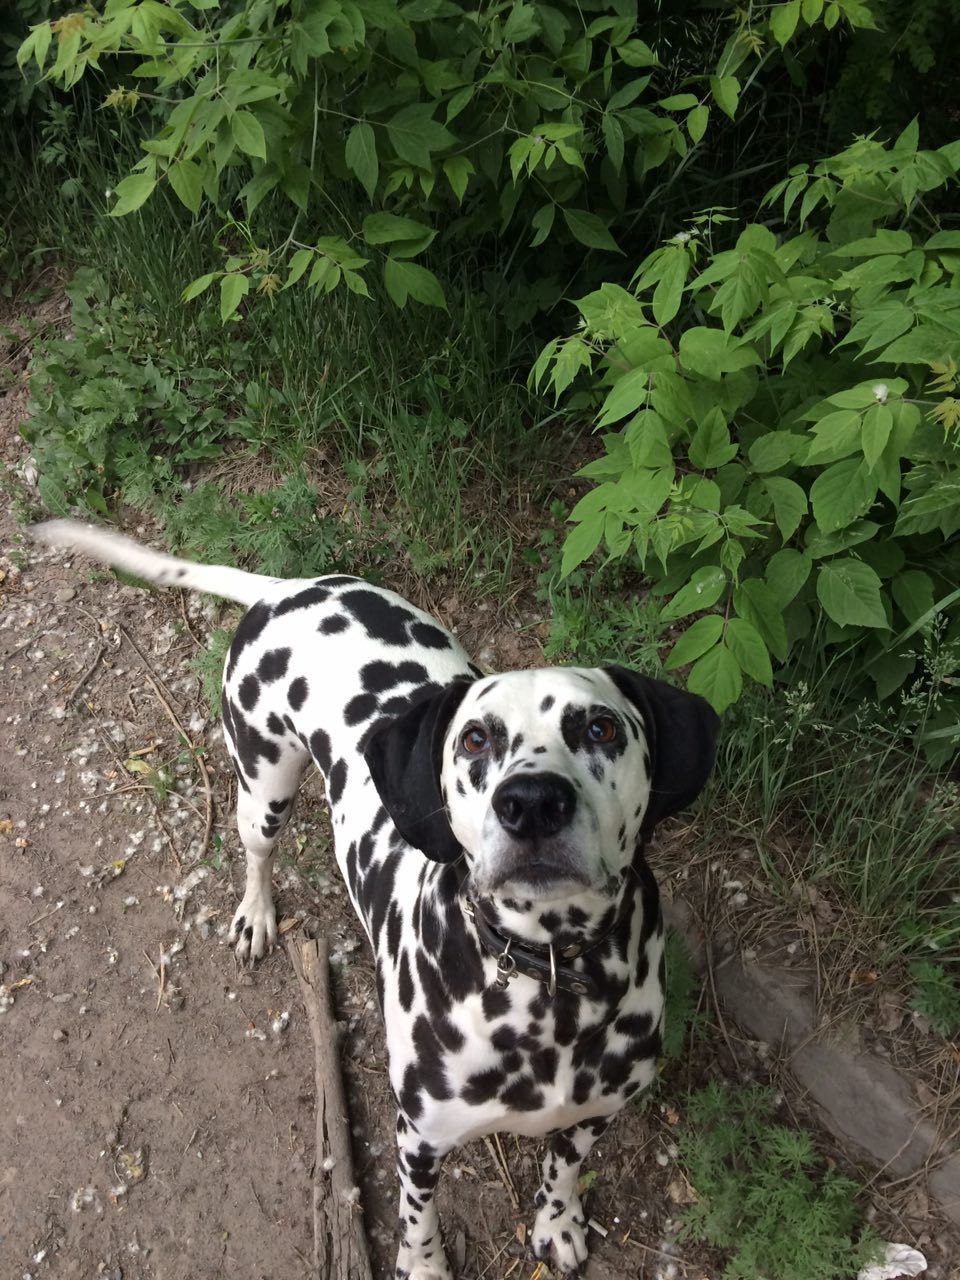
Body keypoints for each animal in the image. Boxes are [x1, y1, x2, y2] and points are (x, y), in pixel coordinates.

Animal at [32, 519, 721, 1280]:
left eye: (601, 727)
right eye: (475, 739)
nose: (533, 802)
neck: (549, 988)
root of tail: (285, 589)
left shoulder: (594, 1114)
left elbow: (564, 1168)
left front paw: (557, 1221)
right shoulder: (419, 1137)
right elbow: (418, 1216)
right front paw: (424, 1264)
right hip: (263, 787)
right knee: (257, 854)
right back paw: (256, 914)